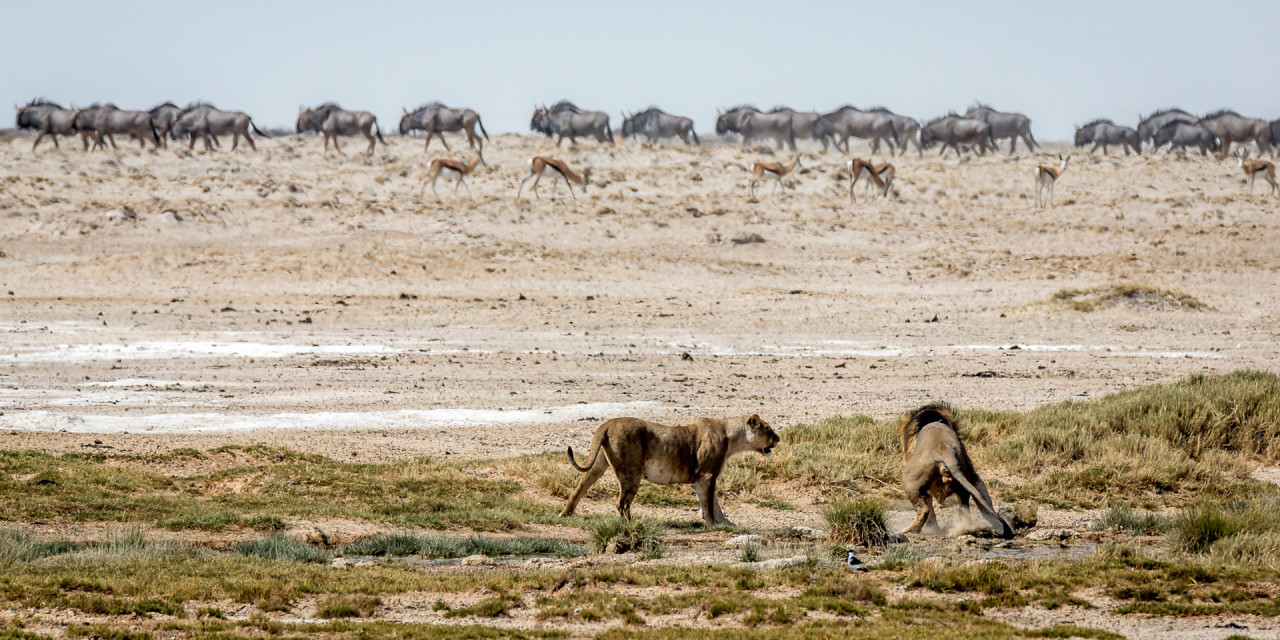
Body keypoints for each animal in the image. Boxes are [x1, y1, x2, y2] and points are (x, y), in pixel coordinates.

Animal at [560, 414, 778, 524]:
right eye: (767, 428)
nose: (778, 438)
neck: (733, 437)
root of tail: (606, 424)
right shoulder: (707, 475)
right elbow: (709, 503)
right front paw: (713, 524)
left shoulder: (699, 479)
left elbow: (711, 502)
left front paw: (725, 523)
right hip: (631, 473)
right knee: (621, 502)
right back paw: (631, 524)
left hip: (599, 465)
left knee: (580, 487)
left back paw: (565, 514)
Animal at [896, 404, 1013, 535]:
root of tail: (946, 451)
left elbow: (930, 509)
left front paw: (932, 528)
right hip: (970, 476)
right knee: (976, 504)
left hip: (909, 482)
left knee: (924, 510)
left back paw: (909, 530)